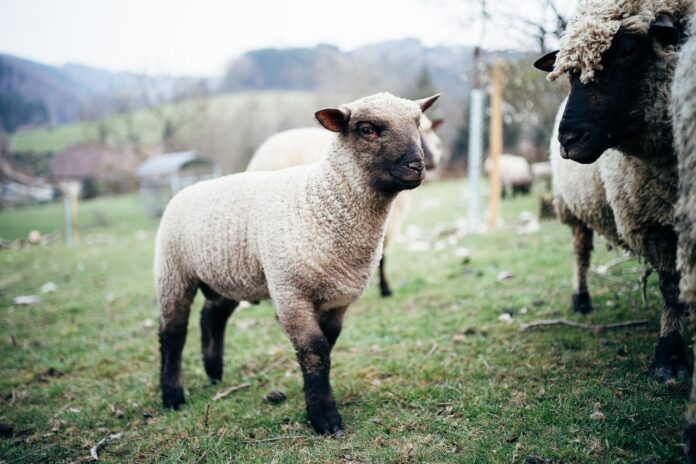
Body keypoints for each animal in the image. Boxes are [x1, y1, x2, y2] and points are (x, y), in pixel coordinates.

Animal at [534, 0, 694, 382]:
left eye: (628, 52)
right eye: (569, 73)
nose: (568, 139)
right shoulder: (654, 223)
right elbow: (671, 287)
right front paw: (671, 356)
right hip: (572, 208)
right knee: (580, 252)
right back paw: (581, 299)